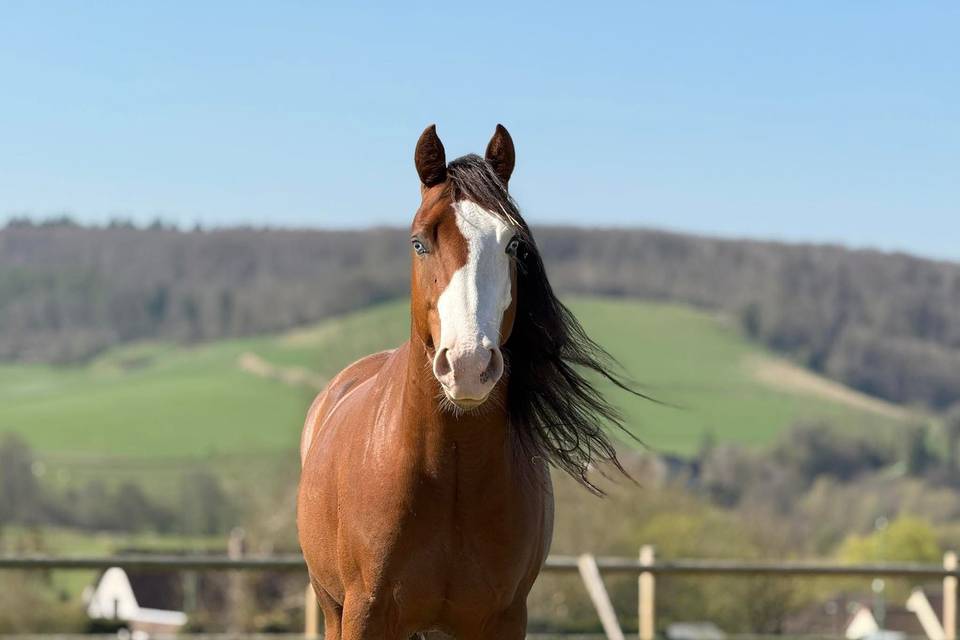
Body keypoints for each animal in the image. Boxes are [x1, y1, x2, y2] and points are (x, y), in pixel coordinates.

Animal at [297, 124, 636, 639]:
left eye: (513, 244)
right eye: (419, 242)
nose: (468, 364)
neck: (449, 471)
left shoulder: (504, 618)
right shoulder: (365, 614)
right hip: (332, 606)